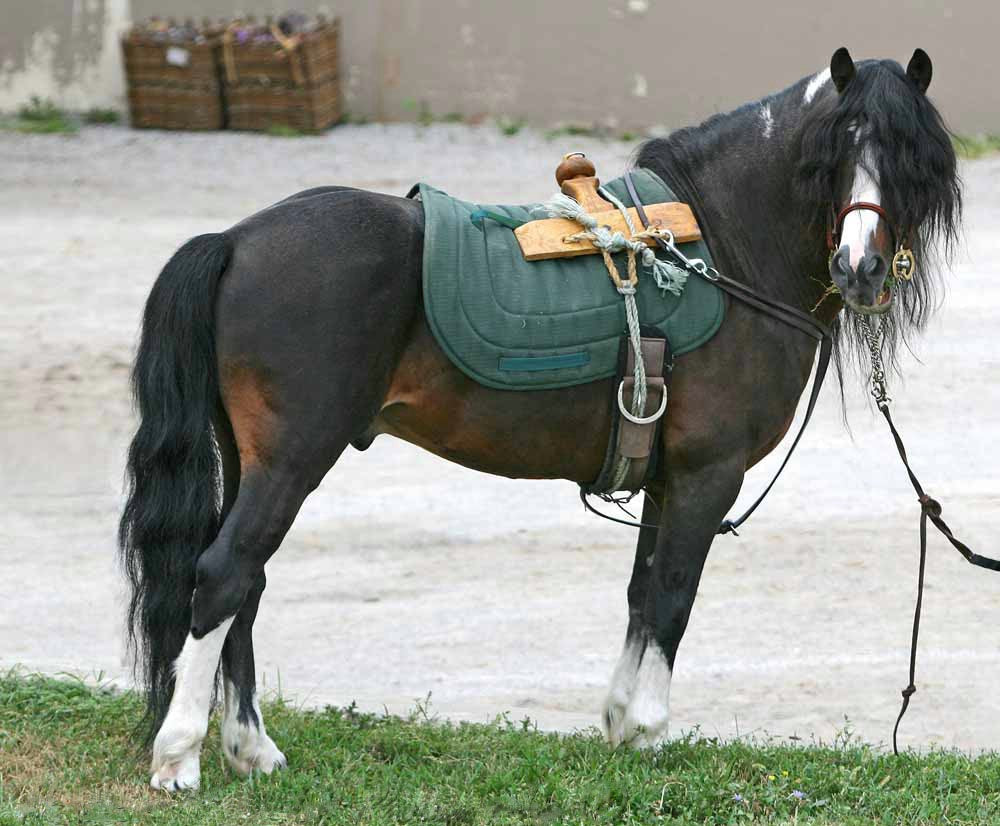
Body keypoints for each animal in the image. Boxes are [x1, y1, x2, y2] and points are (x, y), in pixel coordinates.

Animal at [119, 47, 960, 790]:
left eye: (910, 156)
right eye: (835, 150)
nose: (860, 267)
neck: (721, 249)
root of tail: (234, 241)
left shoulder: (664, 480)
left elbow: (641, 591)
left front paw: (620, 723)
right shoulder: (705, 476)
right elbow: (673, 595)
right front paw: (649, 730)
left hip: (254, 462)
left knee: (246, 586)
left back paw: (251, 749)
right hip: (293, 459)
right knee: (225, 576)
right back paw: (180, 758)